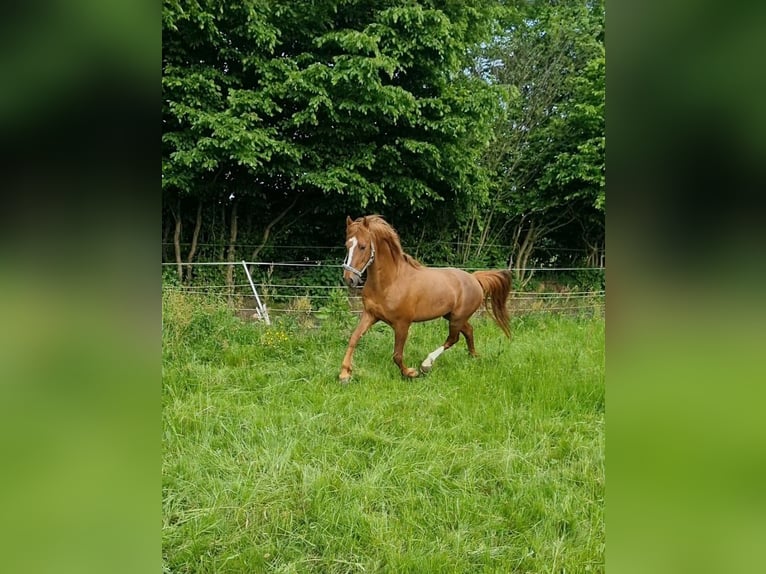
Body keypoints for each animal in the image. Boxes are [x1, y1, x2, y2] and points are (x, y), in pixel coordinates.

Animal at [339, 215, 512, 383]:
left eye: (363, 246)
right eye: (347, 245)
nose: (349, 279)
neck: (390, 282)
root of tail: (474, 278)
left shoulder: (402, 324)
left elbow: (397, 355)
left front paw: (410, 373)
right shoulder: (370, 314)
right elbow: (353, 338)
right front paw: (344, 375)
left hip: (458, 317)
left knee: (453, 338)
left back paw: (426, 364)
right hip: (451, 316)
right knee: (469, 331)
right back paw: (473, 356)